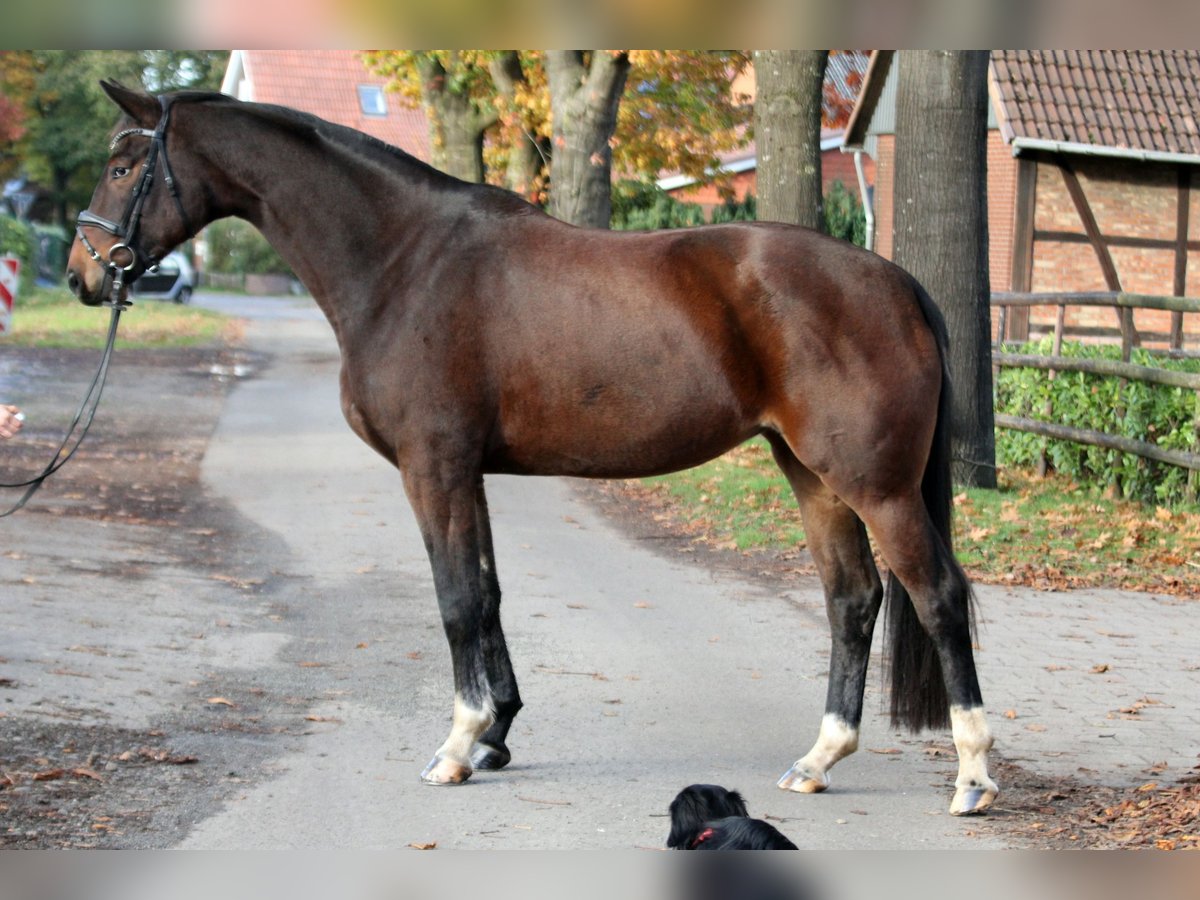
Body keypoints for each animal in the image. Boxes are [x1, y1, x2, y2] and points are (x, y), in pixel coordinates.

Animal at [68, 82, 1003, 816]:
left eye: (124, 165)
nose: (85, 273)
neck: (403, 261)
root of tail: (895, 280)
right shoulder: (464, 472)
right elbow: (486, 594)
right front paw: (496, 735)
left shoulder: (434, 467)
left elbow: (456, 600)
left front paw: (458, 746)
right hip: (810, 474)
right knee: (852, 600)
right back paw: (819, 760)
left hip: (876, 486)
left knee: (937, 596)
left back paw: (972, 777)